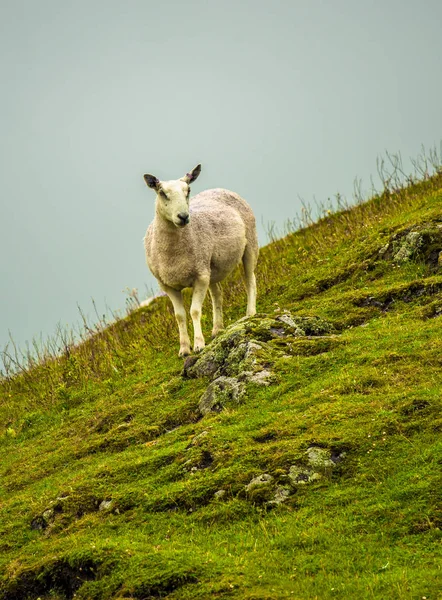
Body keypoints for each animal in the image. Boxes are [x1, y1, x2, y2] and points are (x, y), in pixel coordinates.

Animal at [142, 163, 258, 356]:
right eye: (162, 192)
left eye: (188, 190)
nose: (183, 216)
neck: (173, 254)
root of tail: (218, 188)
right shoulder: (167, 285)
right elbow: (179, 316)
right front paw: (183, 349)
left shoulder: (200, 277)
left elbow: (195, 311)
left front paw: (198, 345)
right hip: (211, 267)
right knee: (218, 294)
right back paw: (217, 328)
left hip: (249, 244)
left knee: (250, 279)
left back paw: (250, 313)